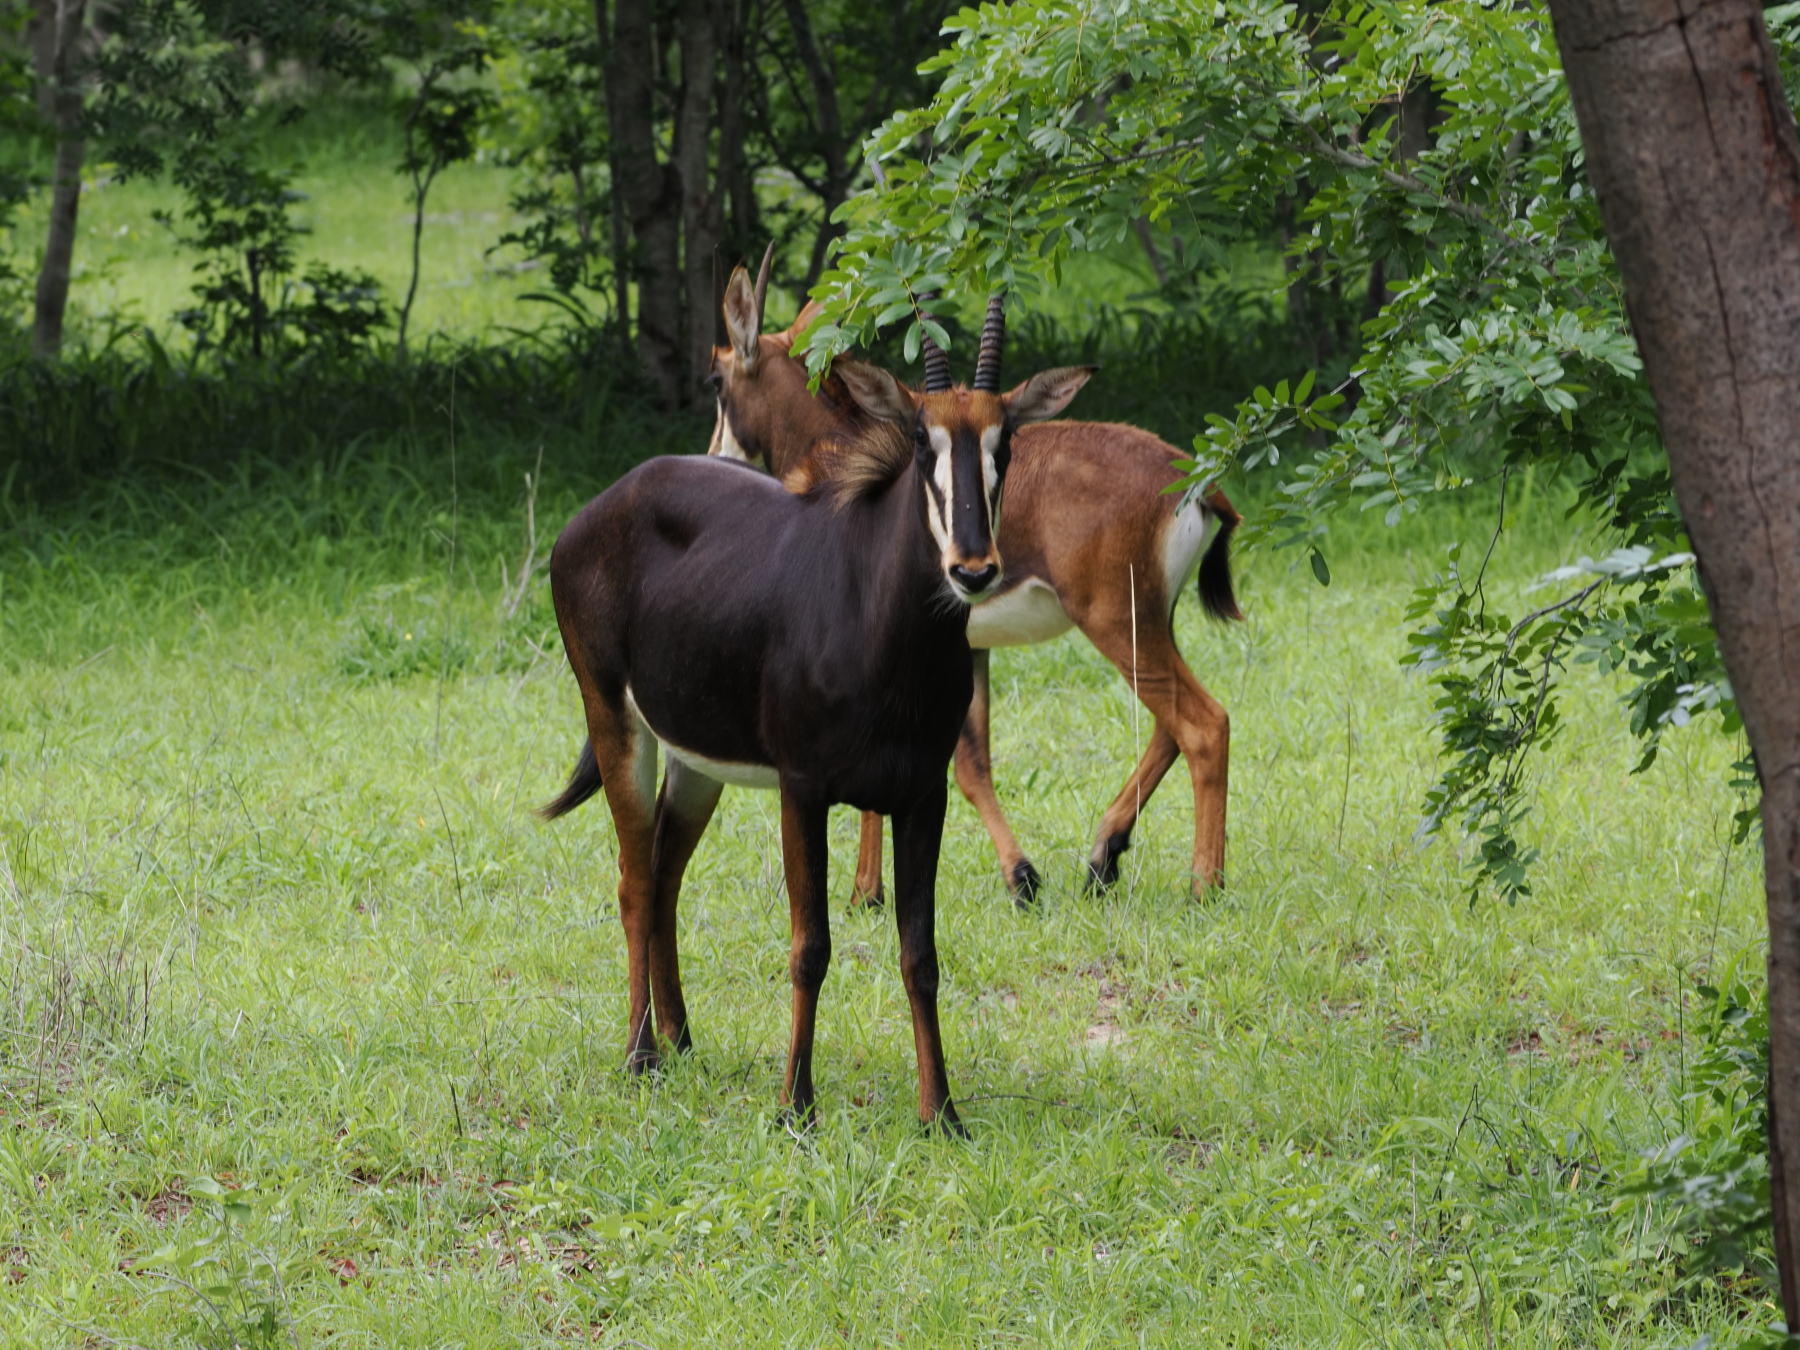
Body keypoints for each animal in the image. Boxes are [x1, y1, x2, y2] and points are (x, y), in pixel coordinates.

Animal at [540, 272, 1092, 1131]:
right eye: (923, 443)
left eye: (1005, 445)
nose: (972, 568)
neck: (884, 633)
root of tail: (594, 513)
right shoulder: (802, 790)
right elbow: (812, 944)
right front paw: (794, 1104)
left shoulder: (921, 795)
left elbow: (919, 952)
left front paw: (942, 1112)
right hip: (615, 720)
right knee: (634, 879)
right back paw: (641, 1055)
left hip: (696, 761)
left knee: (663, 876)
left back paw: (683, 1038)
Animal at [709, 256, 1243, 903]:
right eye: (922, 435)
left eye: (715, 379)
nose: (713, 455)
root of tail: (1192, 477)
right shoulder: (965, 647)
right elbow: (973, 760)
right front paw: (875, 888)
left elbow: (959, 766)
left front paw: (1008, 878)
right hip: (1153, 622)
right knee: (1174, 725)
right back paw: (1103, 855)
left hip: (1116, 620)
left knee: (1204, 724)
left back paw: (1203, 884)